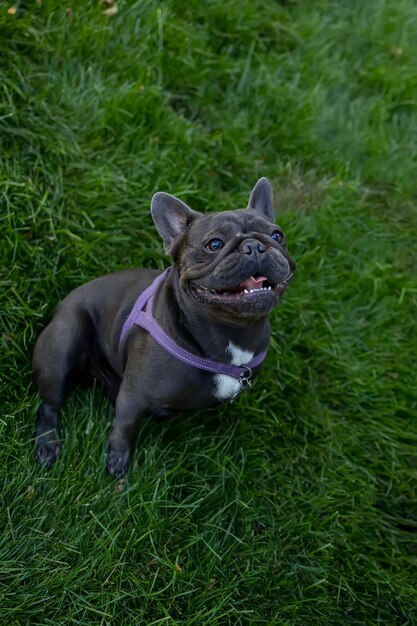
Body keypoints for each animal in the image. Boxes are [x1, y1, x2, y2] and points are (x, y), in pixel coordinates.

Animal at [32, 178, 294, 476]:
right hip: (62, 347)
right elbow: (124, 427)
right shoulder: (133, 395)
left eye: (277, 236)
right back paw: (47, 444)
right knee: (50, 404)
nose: (254, 246)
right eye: (215, 244)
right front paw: (118, 461)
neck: (230, 330)